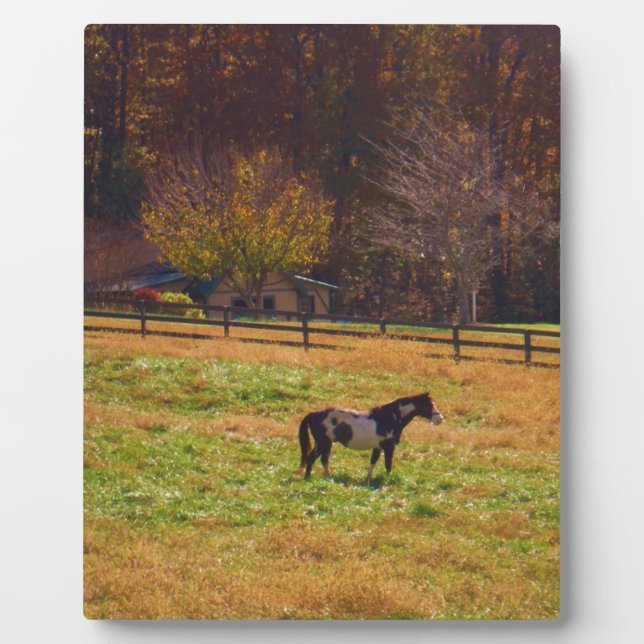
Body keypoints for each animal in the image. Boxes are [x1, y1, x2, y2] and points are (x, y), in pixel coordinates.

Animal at [297, 392, 444, 480]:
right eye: (429, 405)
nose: (440, 419)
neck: (390, 417)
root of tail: (313, 414)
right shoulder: (389, 447)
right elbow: (388, 464)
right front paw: (387, 479)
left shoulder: (378, 447)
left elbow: (373, 462)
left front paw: (368, 478)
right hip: (323, 443)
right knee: (315, 459)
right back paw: (313, 478)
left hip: (325, 443)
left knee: (320, 459)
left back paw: (324, 477)